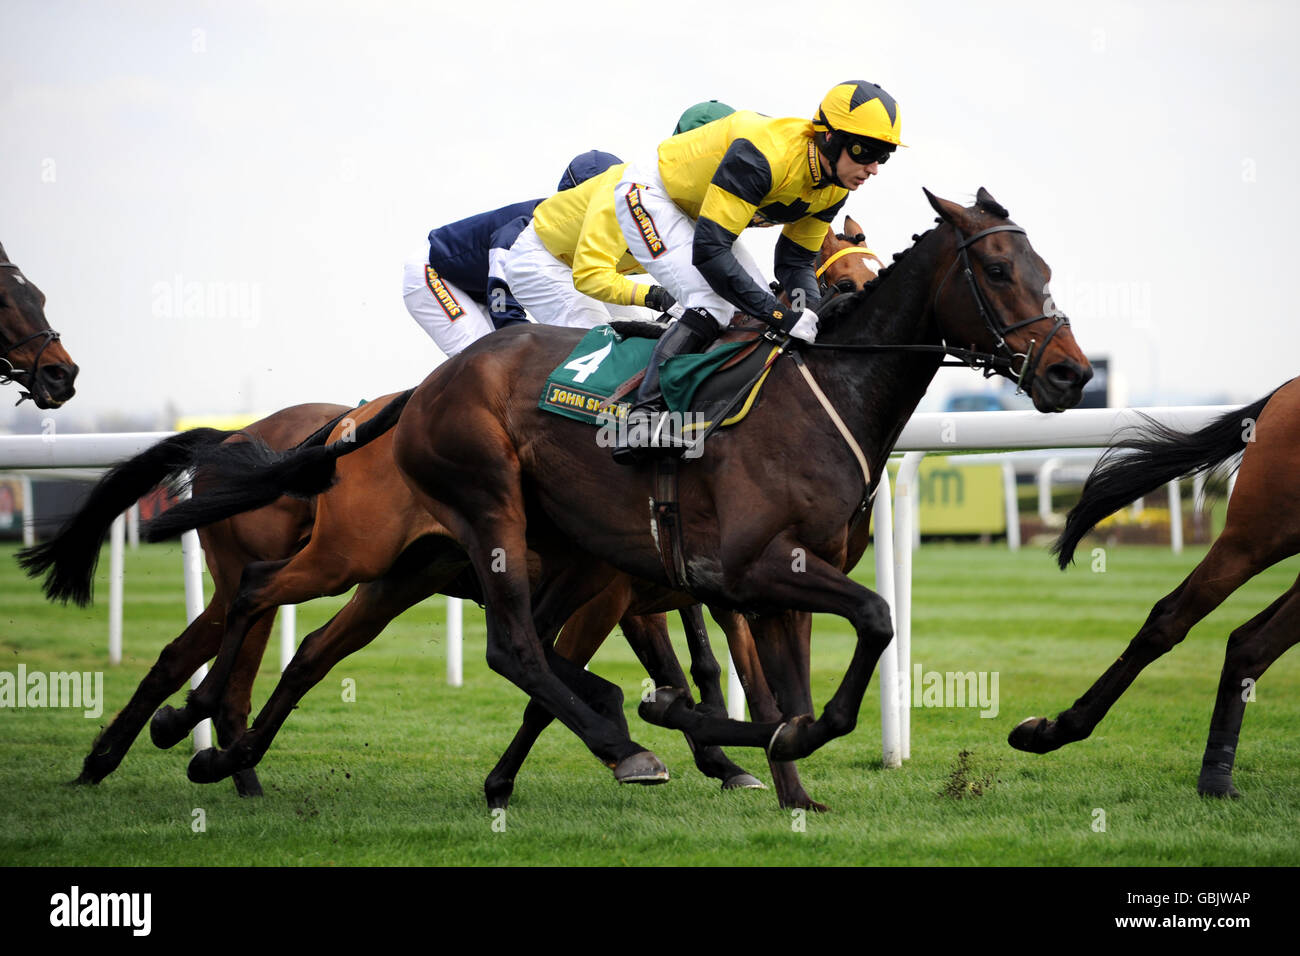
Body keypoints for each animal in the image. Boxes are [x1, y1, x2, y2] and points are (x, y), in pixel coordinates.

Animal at [266, 187, 1086, 785]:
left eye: (1045, 269)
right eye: (999, 271)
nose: (1069, 372)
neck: (822, 394)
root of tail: (416, 393)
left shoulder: (748, 585)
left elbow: (774, 689)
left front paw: (772, 768)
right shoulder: (747, 570)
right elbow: (870, 624)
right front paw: (715, 738)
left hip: (516, 556)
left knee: (356, 649)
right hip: (470, 513)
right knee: (508, 647)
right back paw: (623, 747)